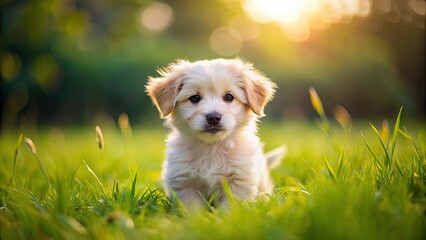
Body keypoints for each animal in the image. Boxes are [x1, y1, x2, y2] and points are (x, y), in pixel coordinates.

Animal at [145, 59, 284, 209]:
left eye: (229, 97)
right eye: (195, 98)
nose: (213, 118)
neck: (211, 147)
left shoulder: (239, 180)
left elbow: (231, 207)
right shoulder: (184, 183)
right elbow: (192, 209)